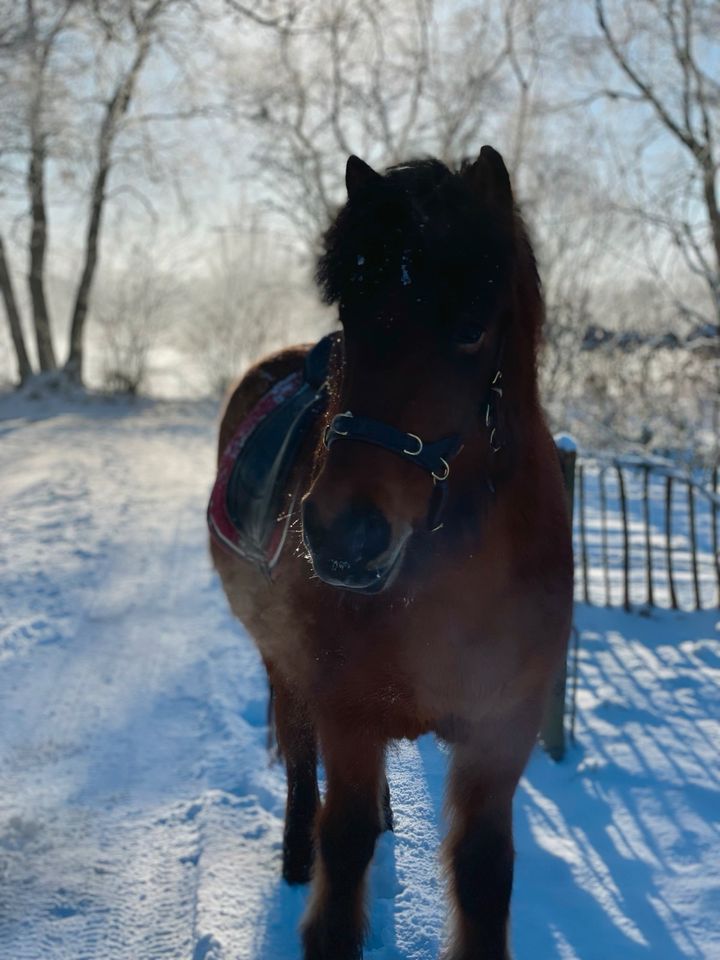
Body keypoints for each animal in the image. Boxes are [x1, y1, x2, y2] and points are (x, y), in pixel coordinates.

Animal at [210, 142, 572, 960]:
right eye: (352, 315)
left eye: (471, 328)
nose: (344, 533)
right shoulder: (346, 712)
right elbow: (341, 857)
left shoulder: (500, 734)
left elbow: (483, 873)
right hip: (287, 666)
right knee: (301, 766)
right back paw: (296, 855)